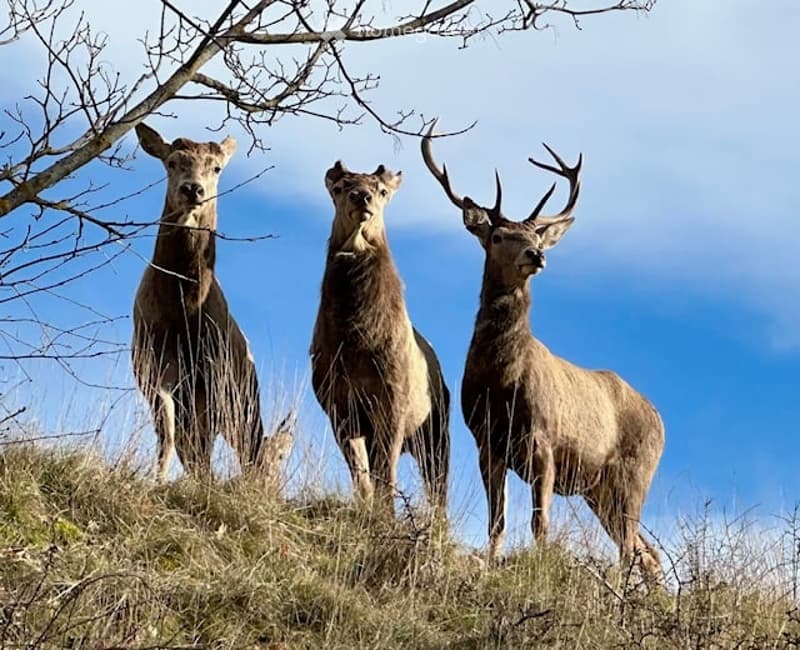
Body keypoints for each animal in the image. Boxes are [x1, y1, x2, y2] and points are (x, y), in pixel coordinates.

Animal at [132, 123, 291, 483]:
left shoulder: (217, 377)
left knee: (239, 442)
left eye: (216, 167)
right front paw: (156, 480)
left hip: (240, 391)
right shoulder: (151, 365)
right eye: (172, 162)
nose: (193, 189)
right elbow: (168, 434)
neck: (182, 313)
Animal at [310, 160, 450, 517]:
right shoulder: (337, 405)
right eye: (340, 187)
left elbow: (386, 472)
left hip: (436, 429)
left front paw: (387, 517)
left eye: (383, 190)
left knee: (438, 486)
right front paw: (369, 511)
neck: (357, 343)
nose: (362, 197)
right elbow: (361, 474)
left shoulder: (393, 400)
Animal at [422, 124, 665, 579]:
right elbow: (497, 520)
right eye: (497, 235)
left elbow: (541, 523)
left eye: (535, 235)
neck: (501, 383)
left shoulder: (545, 443)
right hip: (599, 489)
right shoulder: (487, 443)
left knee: (629, 547)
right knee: (647, 551)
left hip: (633, 472)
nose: (536, 254)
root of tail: (660, 420)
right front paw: (493, 563)